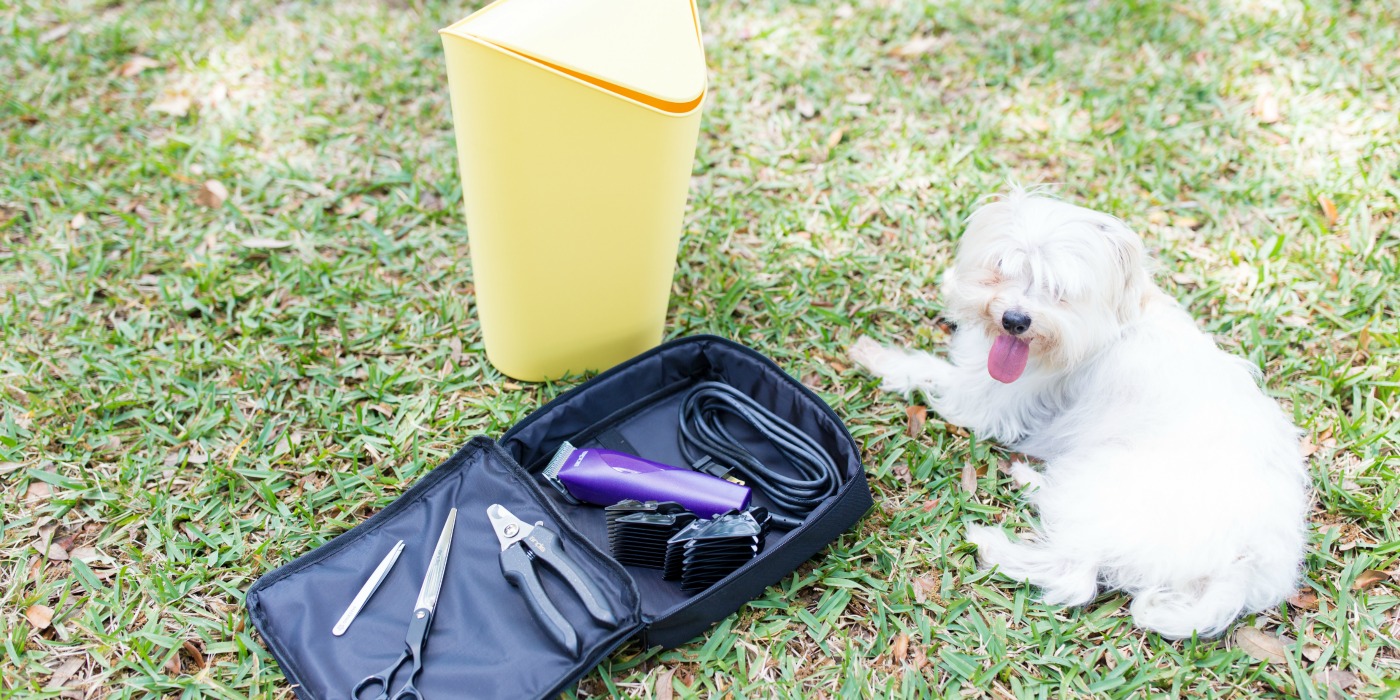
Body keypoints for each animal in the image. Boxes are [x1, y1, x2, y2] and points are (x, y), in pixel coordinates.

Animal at [851, 189, 1310, 638]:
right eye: (1002, 268)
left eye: (1059, 290)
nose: (1014, 320)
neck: (1106, 325)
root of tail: (1245, 564)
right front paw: (954, 284)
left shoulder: (984, 399)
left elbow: (926, 371)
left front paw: (878, 357)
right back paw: (1031, 480)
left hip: (1109, 481)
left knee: (1074, 577)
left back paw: (993, 542)